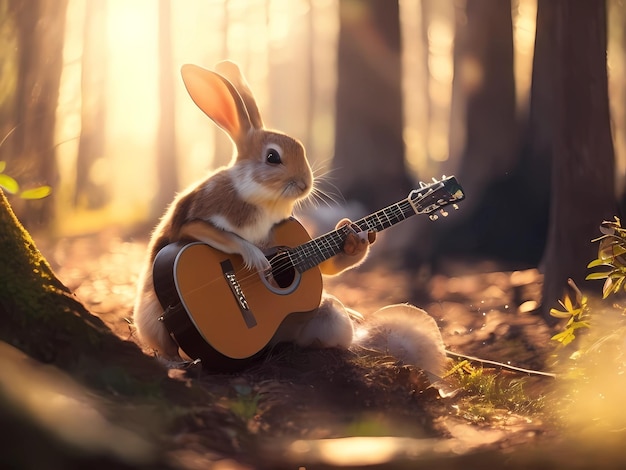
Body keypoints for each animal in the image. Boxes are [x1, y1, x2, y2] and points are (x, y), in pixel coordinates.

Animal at [132, 61, 372, 364]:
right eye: (272, 157)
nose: (305, 184)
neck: (264, 200)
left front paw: (354, 239)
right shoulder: (201, 213)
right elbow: (214, 233)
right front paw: (257, 258)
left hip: (327, 319)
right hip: (153, 321)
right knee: (167, 346)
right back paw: (175, 361)